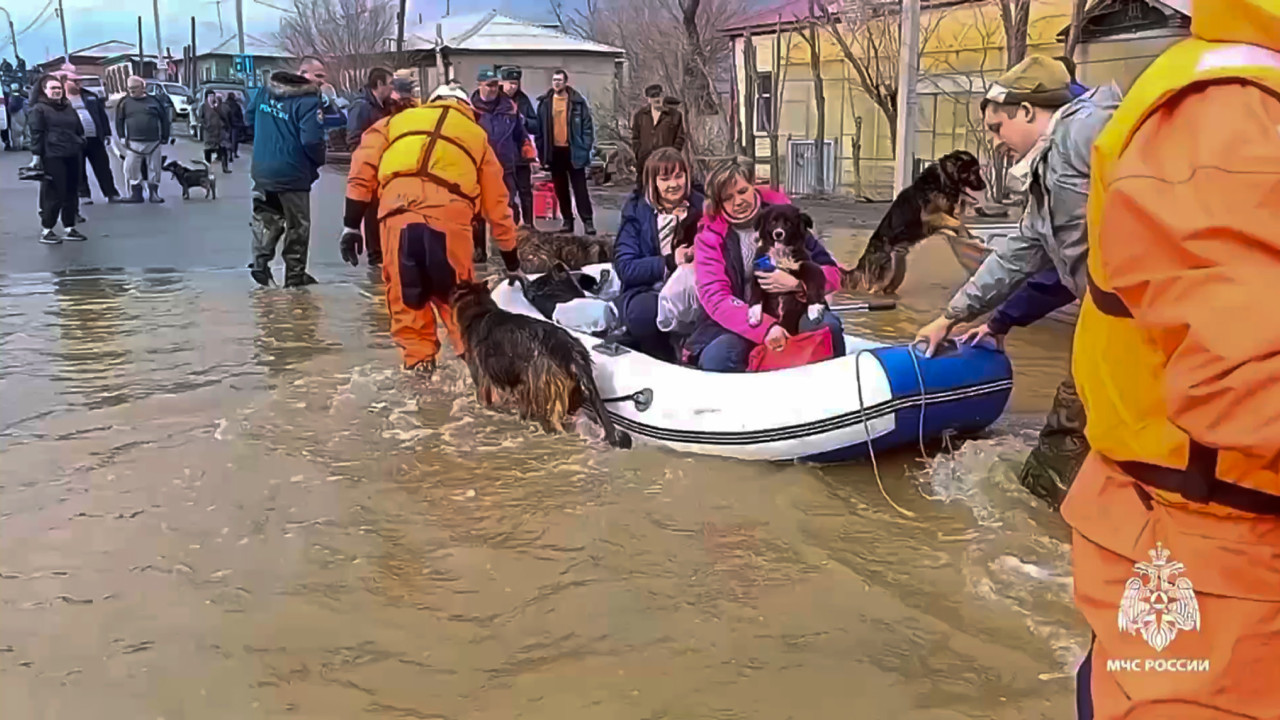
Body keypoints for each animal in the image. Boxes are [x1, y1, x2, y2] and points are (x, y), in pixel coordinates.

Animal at [742, 204, 829, 333]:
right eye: (772, 221)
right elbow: (755, 293)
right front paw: (754, 315)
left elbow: (812, 276)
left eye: (788, 223)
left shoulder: (805, 264)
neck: (780, 254)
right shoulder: (760, 270)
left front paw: (814, 309)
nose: (778, 233)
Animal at [844, 148, 983, 294]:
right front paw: (967, 235)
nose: (984, 185)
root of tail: (863, 259)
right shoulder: (929, 216)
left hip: (896, 273)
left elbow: (957, 222)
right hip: (880, 279)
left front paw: (970, 236)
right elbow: (958, 222)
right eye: (974, 170)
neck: (942, 180)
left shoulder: (947, 214)